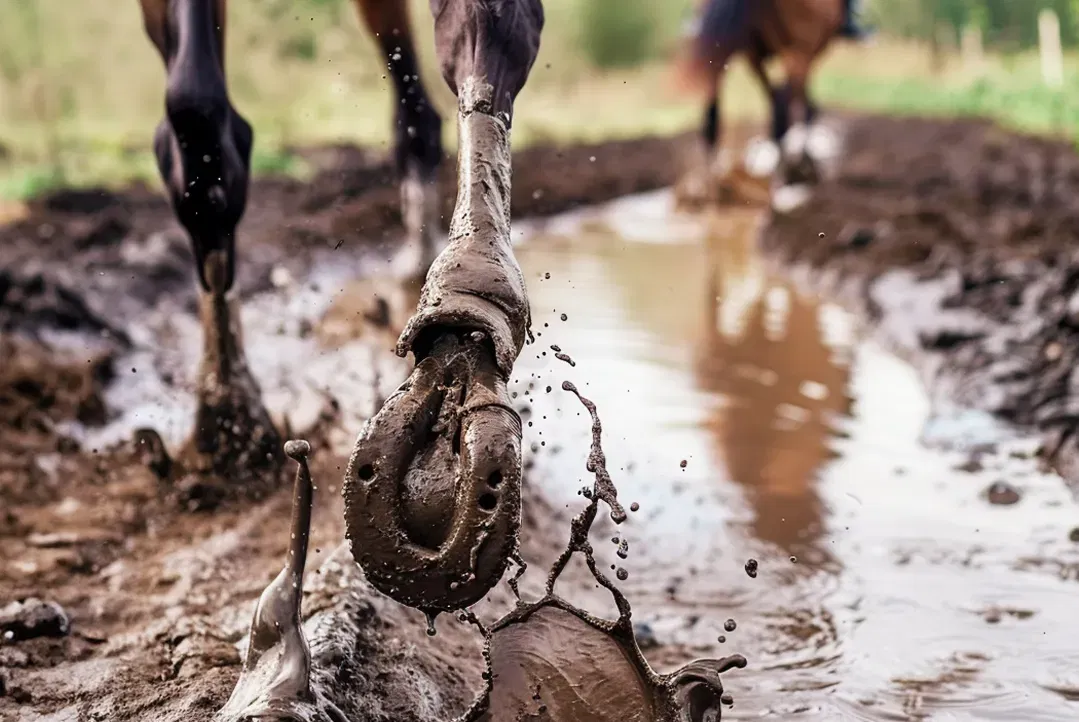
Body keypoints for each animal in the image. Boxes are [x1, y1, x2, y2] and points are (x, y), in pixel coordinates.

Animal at [138, 0, 548, 612]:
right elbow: (197, 120)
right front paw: (227, 421)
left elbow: (493, 29)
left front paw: (469, 291)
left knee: (417, 117)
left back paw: (421, 263)